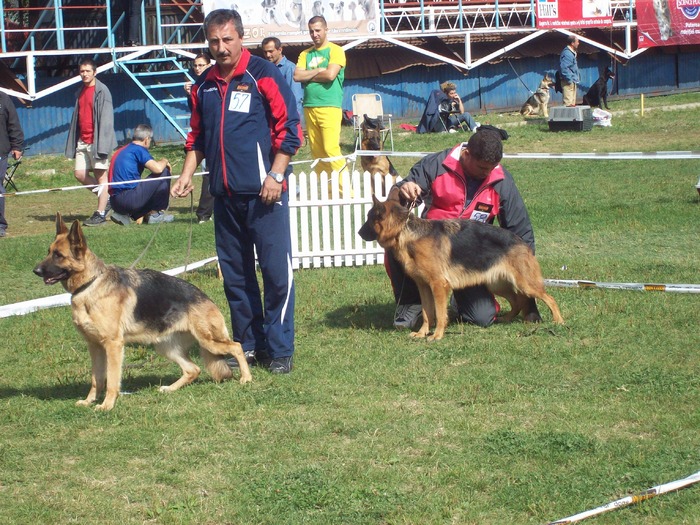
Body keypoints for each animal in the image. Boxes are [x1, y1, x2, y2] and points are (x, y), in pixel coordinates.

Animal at [33, 213, 252, 410]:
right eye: (48, 251)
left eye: (58, 255)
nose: (36, 270)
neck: (90, 284)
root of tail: (207, 299)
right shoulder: (94, 346)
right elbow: (97, 379)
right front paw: (89, 402)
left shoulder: (113, 345)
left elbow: (111, 380)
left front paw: (107, 405)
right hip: (165, 347)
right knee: (193, 369)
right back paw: (170, 389)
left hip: (208, 341)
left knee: (236, 346)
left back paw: (247, 378)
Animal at [358, 196, 568, 340]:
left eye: (368, 218)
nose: (359, 233)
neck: (405, 231)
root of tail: (522, 242)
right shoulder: (424, 287)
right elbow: (427, 313)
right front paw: (422, 333)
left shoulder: (438, 286)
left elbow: (439, 314)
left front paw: (437, 335)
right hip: (498, 284)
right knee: (518, 301)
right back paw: (506, 319)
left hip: (524, 283)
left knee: (549, 298)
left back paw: (559, 321)